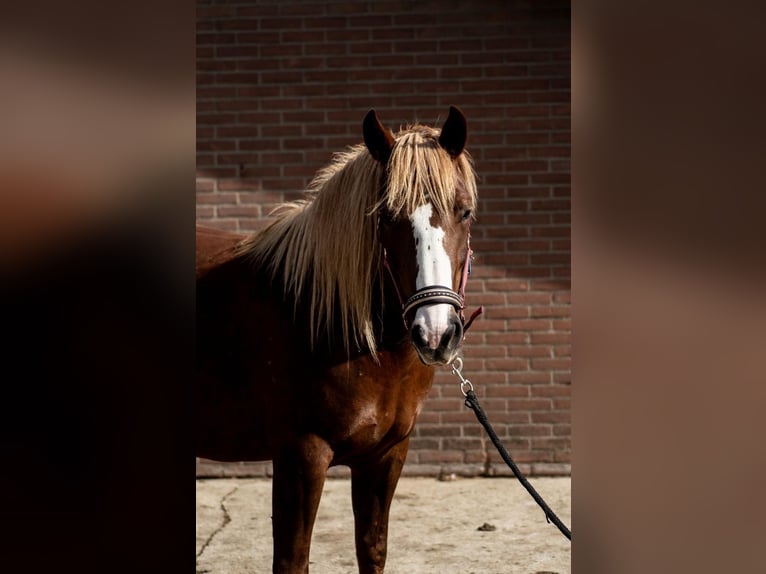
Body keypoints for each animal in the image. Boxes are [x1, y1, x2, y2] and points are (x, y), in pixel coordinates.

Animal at [196, 106, 479, 574]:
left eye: (466, 212)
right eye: (386, 217)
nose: (436, 334)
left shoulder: (385, 456)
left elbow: (372, 549)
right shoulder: (301, 456)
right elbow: (293, 560)